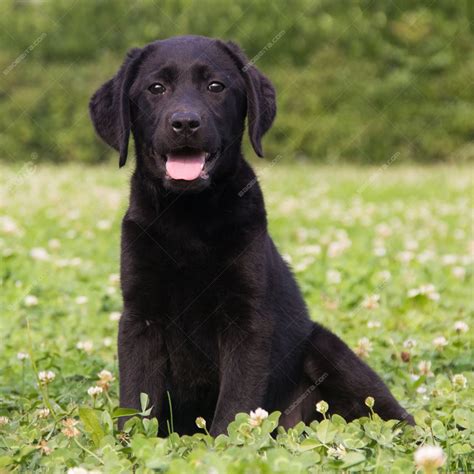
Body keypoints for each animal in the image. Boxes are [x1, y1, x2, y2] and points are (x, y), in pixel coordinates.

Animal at [90, 35, 414, 436]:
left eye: (216, 86)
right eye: (156, 88)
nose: (185, 123)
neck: (188, 216)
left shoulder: (247, 321)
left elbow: (235, 404)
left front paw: (226, 446)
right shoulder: (140, 318)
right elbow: (136, 401)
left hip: (325, 345)